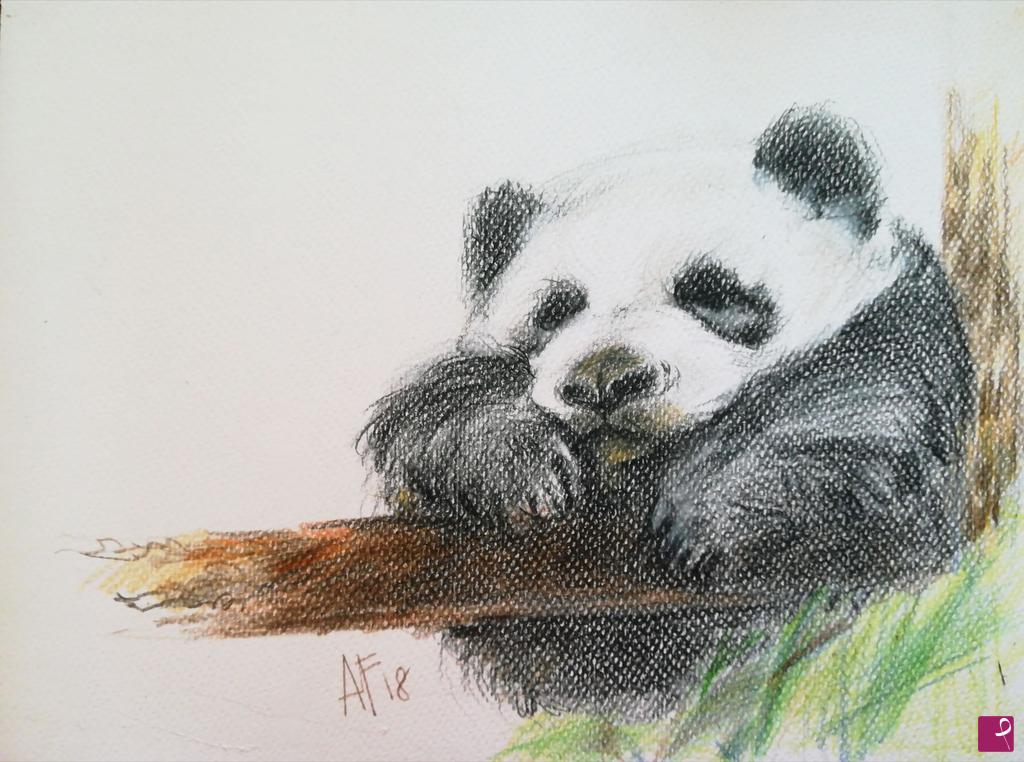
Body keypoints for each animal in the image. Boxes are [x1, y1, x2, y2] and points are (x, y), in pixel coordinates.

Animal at [360, 106, 975, 718]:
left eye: (713, 292)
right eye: (556, 310)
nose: (604, 380)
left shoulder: (900, 336)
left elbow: (856, 408)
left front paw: (706, 514)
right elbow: (439, 409)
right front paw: (511, 466)